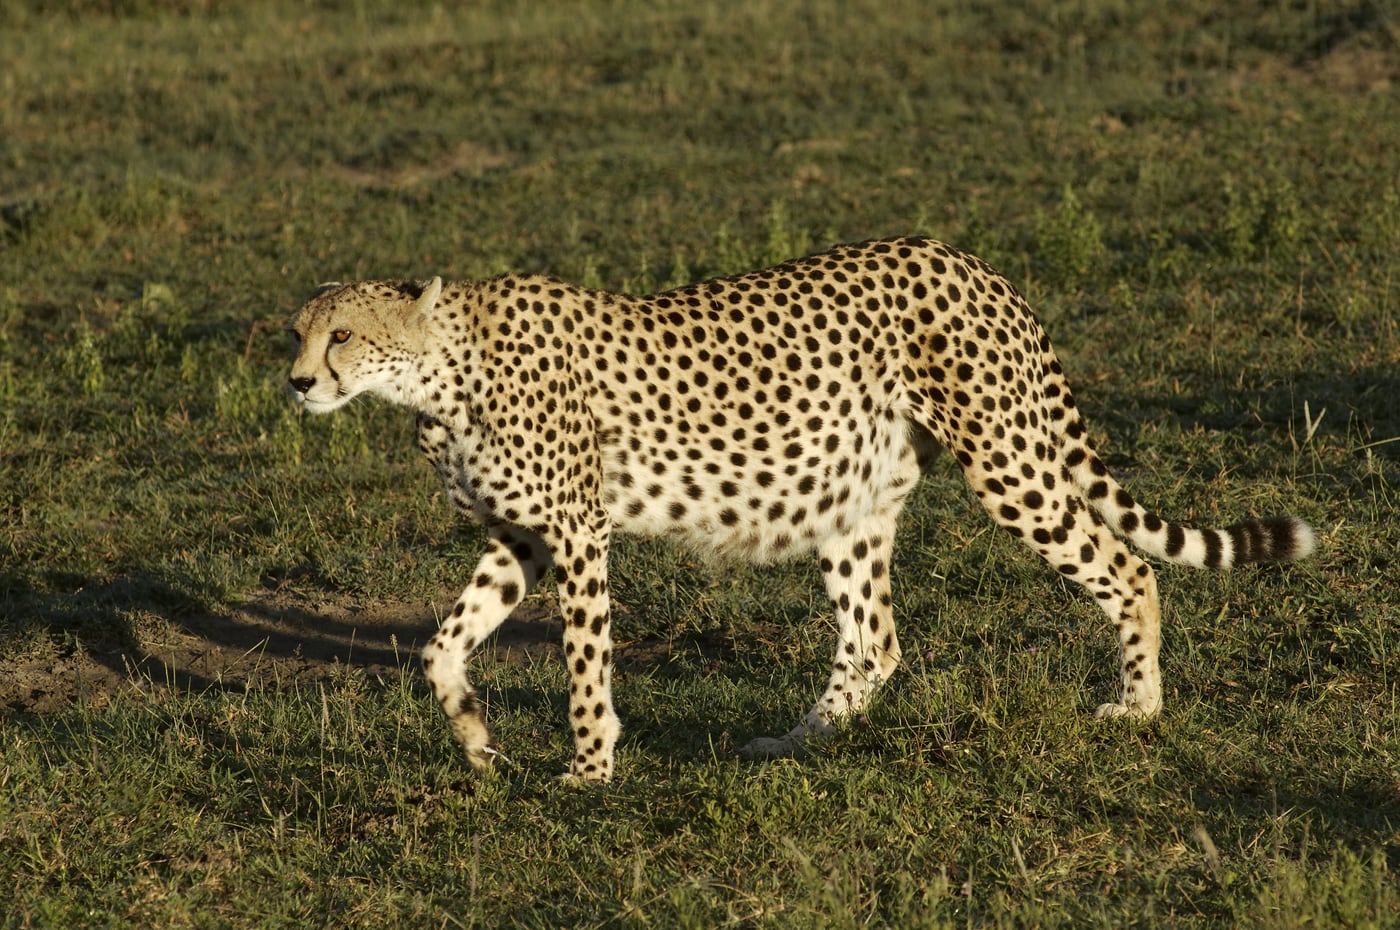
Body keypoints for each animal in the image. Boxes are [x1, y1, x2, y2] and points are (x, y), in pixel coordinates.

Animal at [287, 236, 1315, 783]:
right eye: (298, 333)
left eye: (343, 336)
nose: (296, 383)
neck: (439, 377)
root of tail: (965, 257)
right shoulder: (522, 539)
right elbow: (440, 645)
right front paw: (476, 738)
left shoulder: (577, 533)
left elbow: (583, 665)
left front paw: (589, 769)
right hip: (851, 504)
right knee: (876, 641)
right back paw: (795, 742)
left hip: (1009, 465)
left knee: (1128, 568)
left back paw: (1138, 708)